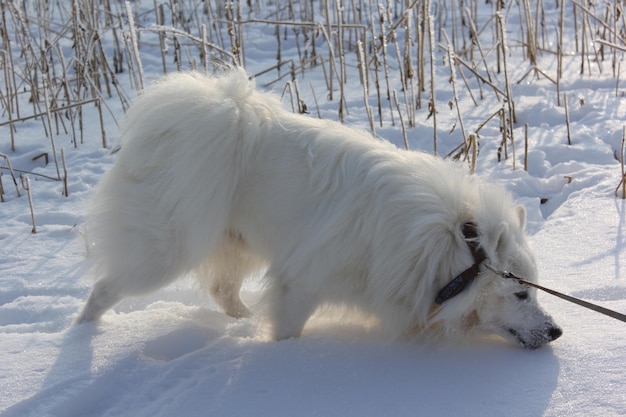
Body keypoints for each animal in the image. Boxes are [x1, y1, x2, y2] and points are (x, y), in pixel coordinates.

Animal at [78, 69, 560, 348]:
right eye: (520, 294)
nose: (556, 330)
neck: (451, 242)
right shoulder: (302, 282)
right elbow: (289, 328)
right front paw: (285, 356)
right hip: (167, 251)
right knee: (104, 288)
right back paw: (81, 336)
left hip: (236, 244)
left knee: (223, 292)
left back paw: (244, 323)